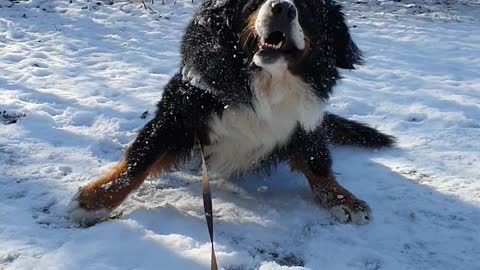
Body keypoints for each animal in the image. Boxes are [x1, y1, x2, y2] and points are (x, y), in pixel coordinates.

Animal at [69, 0, 396, 227]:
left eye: (307, 5)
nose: (282, 7)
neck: (265, 82)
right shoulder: (180, 112)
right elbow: (140, 159)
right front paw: (95, 200)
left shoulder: (303, 123)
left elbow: (317, 163)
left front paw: (344, 199)